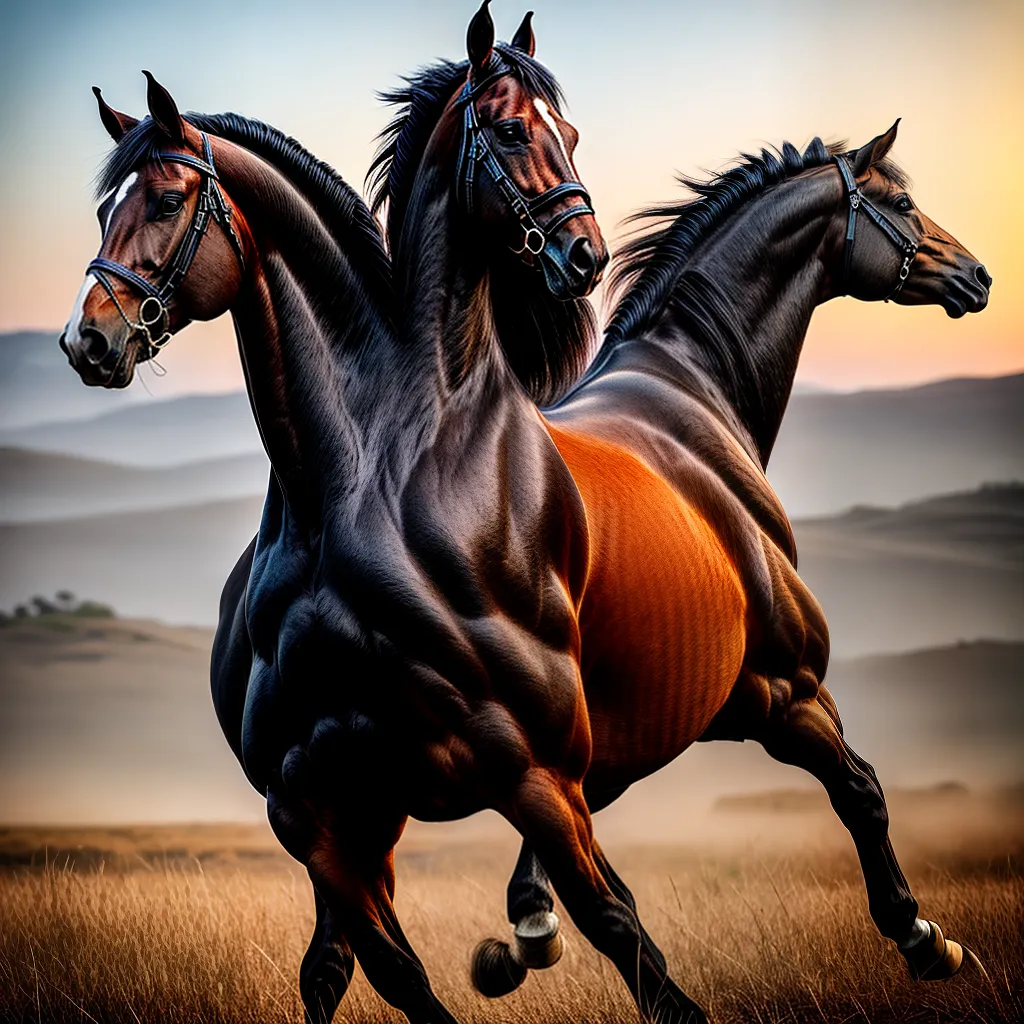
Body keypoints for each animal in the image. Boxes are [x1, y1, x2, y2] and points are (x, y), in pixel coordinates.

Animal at [468, 122, 992, 1002]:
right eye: (900, 203)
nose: (980, 275)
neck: (692, 387)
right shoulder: (783, 690)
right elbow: (862, 793)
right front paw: (923, 938)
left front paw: (523, 934)